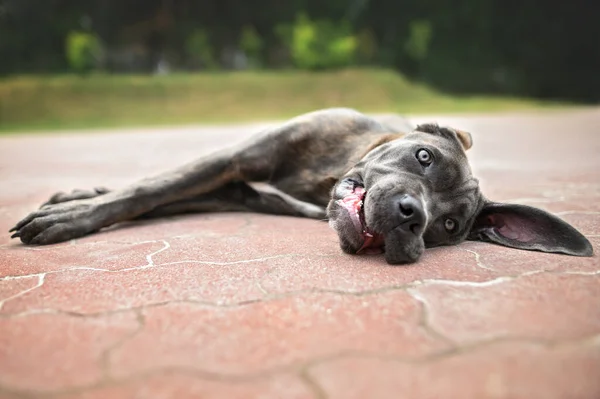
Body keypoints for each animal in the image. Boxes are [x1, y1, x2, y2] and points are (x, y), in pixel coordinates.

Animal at [7, 109, 592, 266]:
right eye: (424, 157)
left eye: (449, 226)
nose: (413, 216)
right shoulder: (236, 161)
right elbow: (148, 190)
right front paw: (69, 216)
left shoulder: (236, 190)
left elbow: (159, 196)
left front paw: (74, 210)